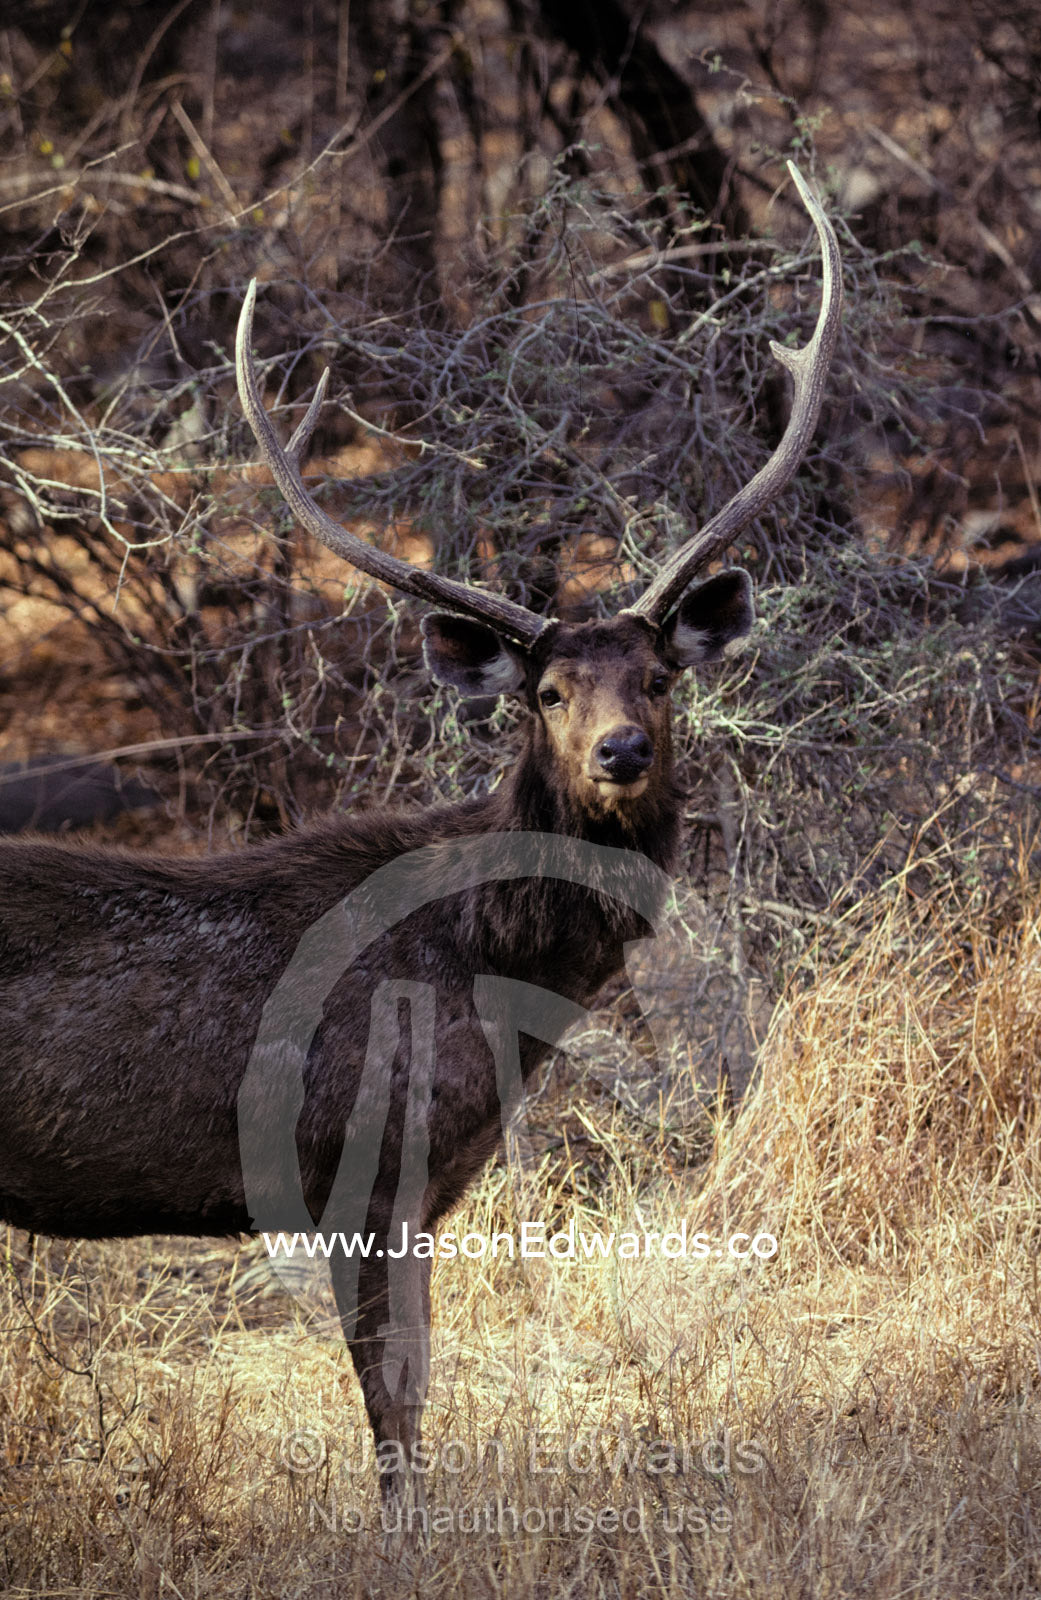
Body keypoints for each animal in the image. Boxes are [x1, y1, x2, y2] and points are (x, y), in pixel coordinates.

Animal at [0, 164, 840, 1510]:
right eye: (547, 692)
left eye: (660, 677)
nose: (620, 752)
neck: (491, 976)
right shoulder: (360, 1158)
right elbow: (395, 1407)